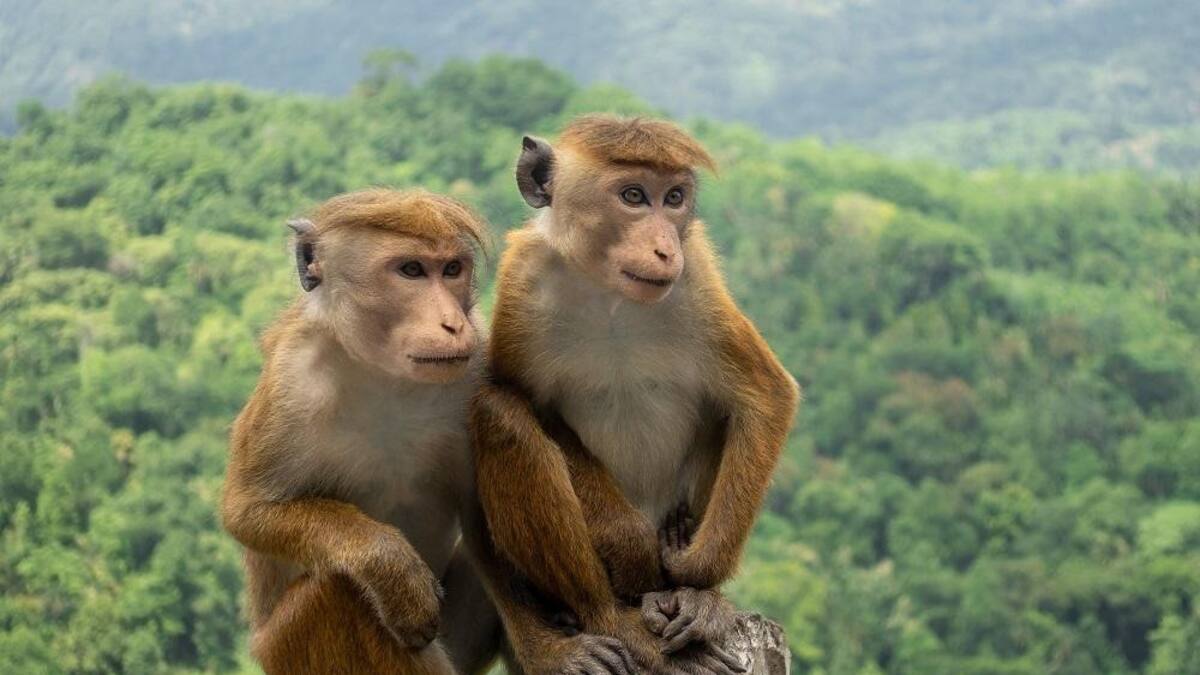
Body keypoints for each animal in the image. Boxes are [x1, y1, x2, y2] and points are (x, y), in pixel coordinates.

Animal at [221, 188, 503, 674]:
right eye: (411, 270)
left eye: (451, 269)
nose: (452, 324)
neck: (382, 375)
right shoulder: (290, 381)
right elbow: (246, 509)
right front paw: (390, 567)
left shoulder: (476, 360)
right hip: (286, 649)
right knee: (337, 588)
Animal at [468, 115, 800, 674]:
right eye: (632, 196)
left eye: (674, 198)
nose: (666, 247)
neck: (610, 295)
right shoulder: (522, 283)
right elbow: (531, 406)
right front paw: (632, 547)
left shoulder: (697, 281)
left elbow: (764, 395)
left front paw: (696, 572)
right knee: (499, 417)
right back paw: (604, 616)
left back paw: (698, 599)